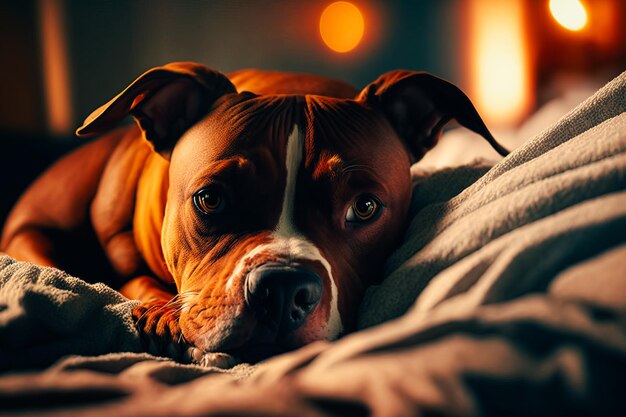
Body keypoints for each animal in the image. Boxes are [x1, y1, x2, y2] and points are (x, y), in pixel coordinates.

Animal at [1, 61, 508, 360]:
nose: (283, 291)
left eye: (365, 207)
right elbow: (132, 277)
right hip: (29, 237)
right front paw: (164, 312)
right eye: (211, 199)